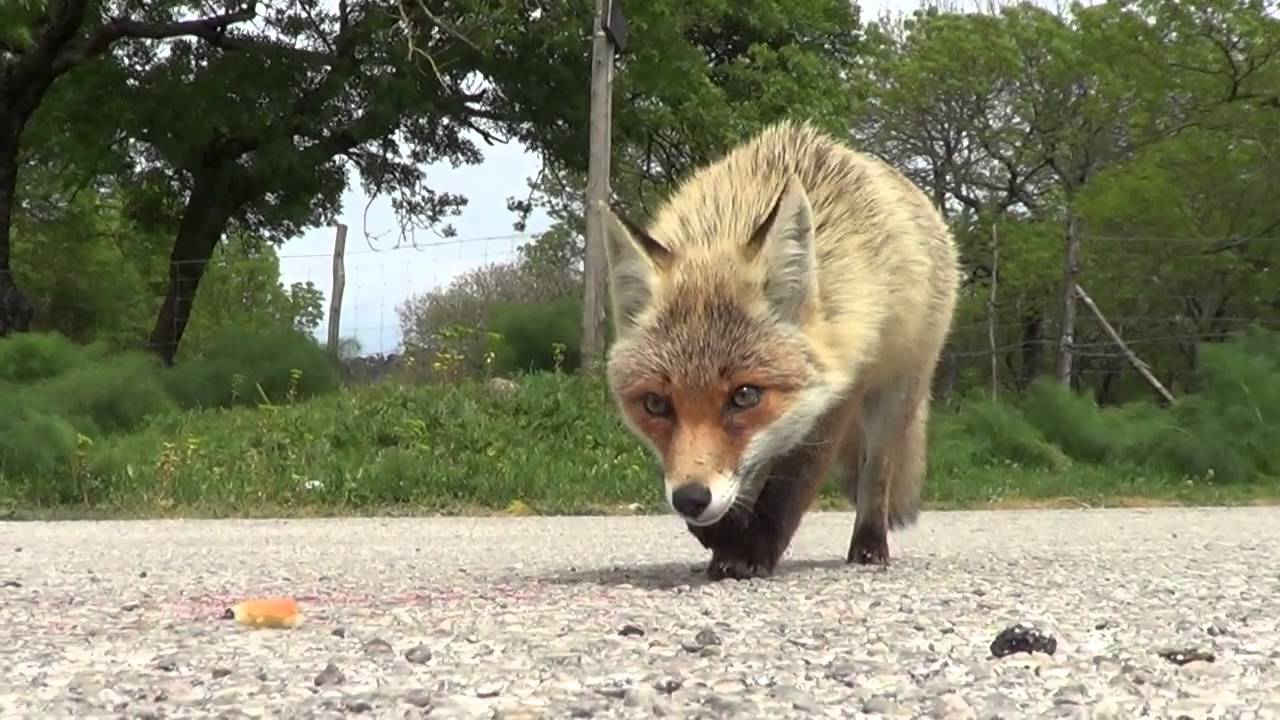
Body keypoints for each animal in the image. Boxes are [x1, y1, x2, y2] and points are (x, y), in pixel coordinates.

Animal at [600, 120, 960, 581]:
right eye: (656, 404)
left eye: (745, 395)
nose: (691, 500)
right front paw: (721, 534)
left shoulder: (838, 395)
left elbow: (787, 492)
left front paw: (750, 550)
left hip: (895, 395)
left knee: (875, 477)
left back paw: (869, 544)